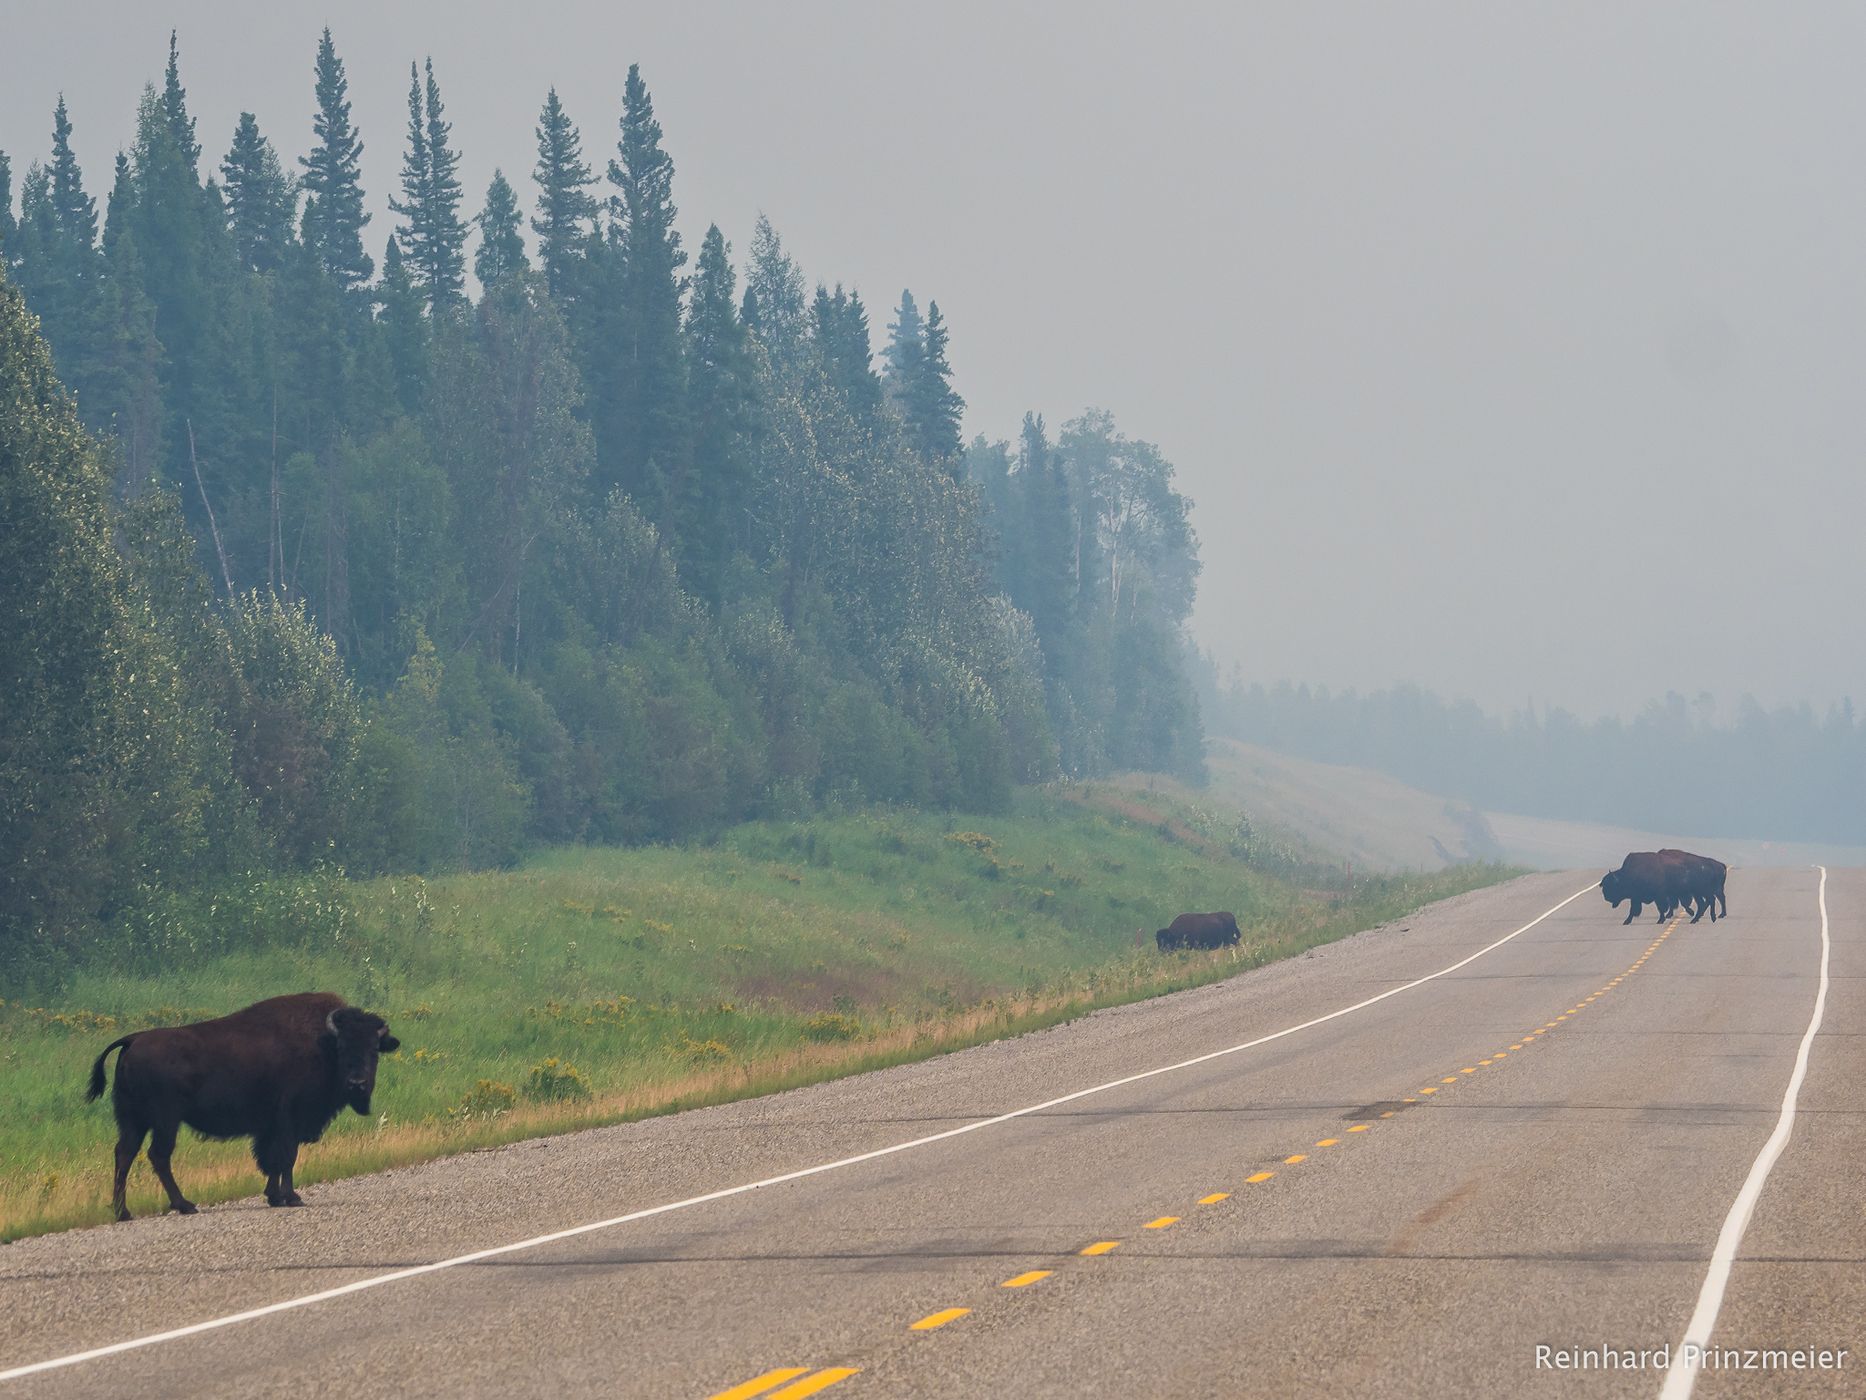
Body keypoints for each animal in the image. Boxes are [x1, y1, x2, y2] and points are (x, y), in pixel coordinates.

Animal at [87, 992, 399, 1221]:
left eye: (374, 1049)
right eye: (342, 1047)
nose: (357, 1083)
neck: (322, 1043)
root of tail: (133, 1039)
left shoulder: (272, 1126)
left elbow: (272, 1160)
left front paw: (274, 1196)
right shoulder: (290, 1119)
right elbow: (286, 1157)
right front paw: (292, 1198)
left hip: (133, 1120)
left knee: (124, 1154)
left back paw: (123, 1212)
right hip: (165, 1120)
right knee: (158, 1155)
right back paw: (185, 1205)